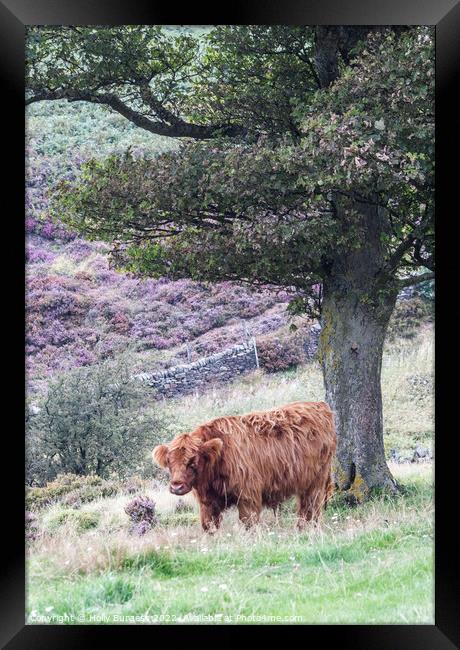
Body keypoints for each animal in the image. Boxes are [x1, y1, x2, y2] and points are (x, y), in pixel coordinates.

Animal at [153, 400, 336, 532]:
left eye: (192, 462)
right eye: (169, 463)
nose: (176, 486)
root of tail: (319, 405)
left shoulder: (248, 493)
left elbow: (248, 521)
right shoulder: (208, 502)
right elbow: (208, 525)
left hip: (316, 480)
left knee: (311, 506)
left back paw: (306, 529)